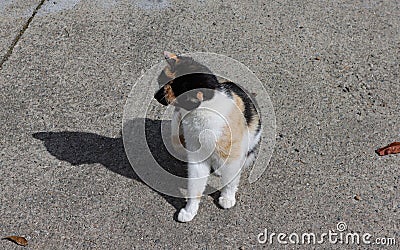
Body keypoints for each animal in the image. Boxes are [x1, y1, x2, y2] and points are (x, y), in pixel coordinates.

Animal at [152, 51, 260, 223]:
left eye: (168, 90)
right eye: (161, 82)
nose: (155, 96)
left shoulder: (233, 154)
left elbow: (231, 181)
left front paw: (227, 198)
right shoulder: (196, 157)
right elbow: (195, 186)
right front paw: (189, 211)